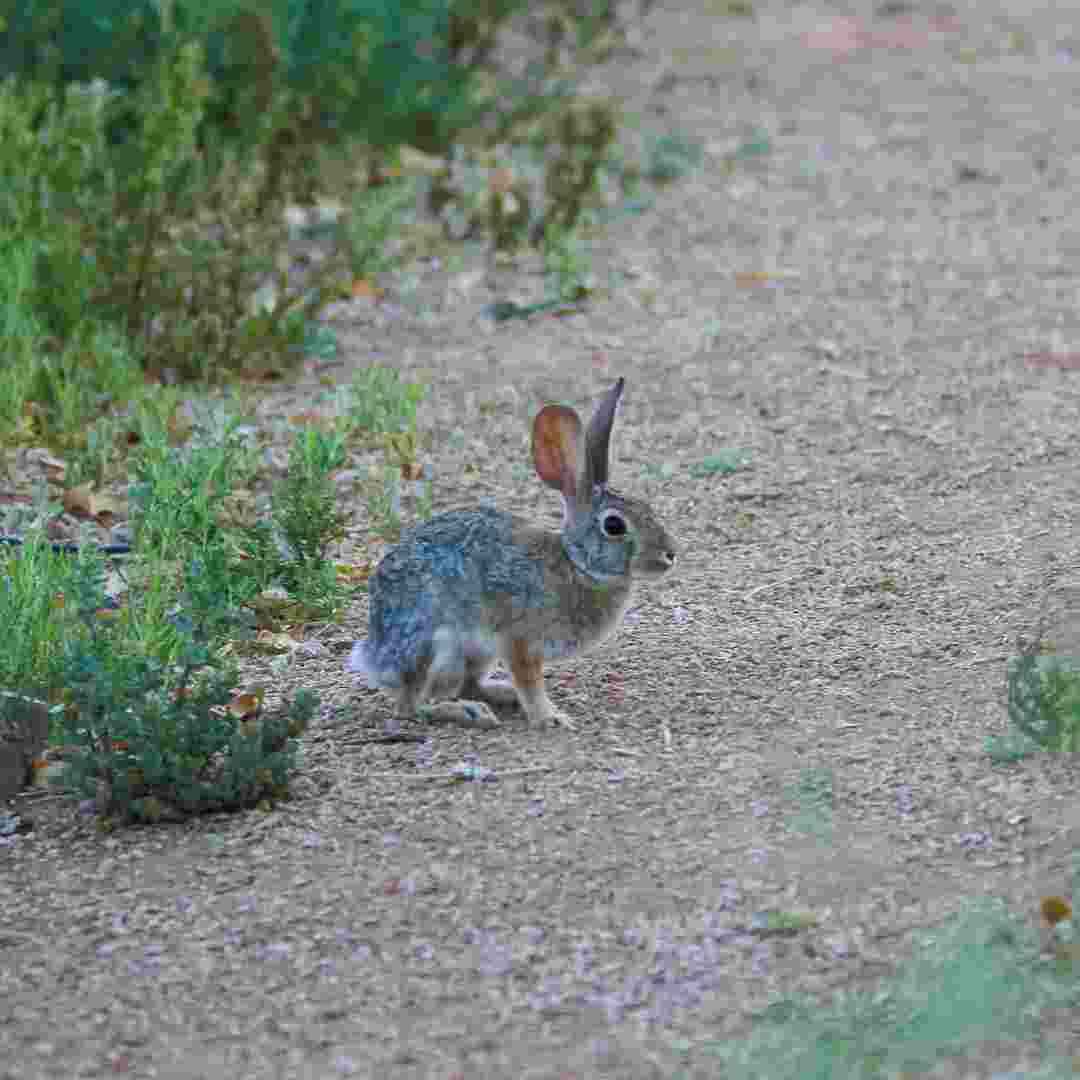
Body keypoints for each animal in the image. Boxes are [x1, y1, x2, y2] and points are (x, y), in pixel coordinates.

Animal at [349, 380, 678, 734]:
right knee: (412, 705)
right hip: (434, 644)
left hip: (474, 654)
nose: (670, 554)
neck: (577, 566)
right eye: (614, 525)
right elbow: (529, 681)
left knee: (465, 685)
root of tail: (375, 654)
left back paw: (499, 695)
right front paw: (550, 717)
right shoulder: (518, 639)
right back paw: (468, 713)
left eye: (646, 506)